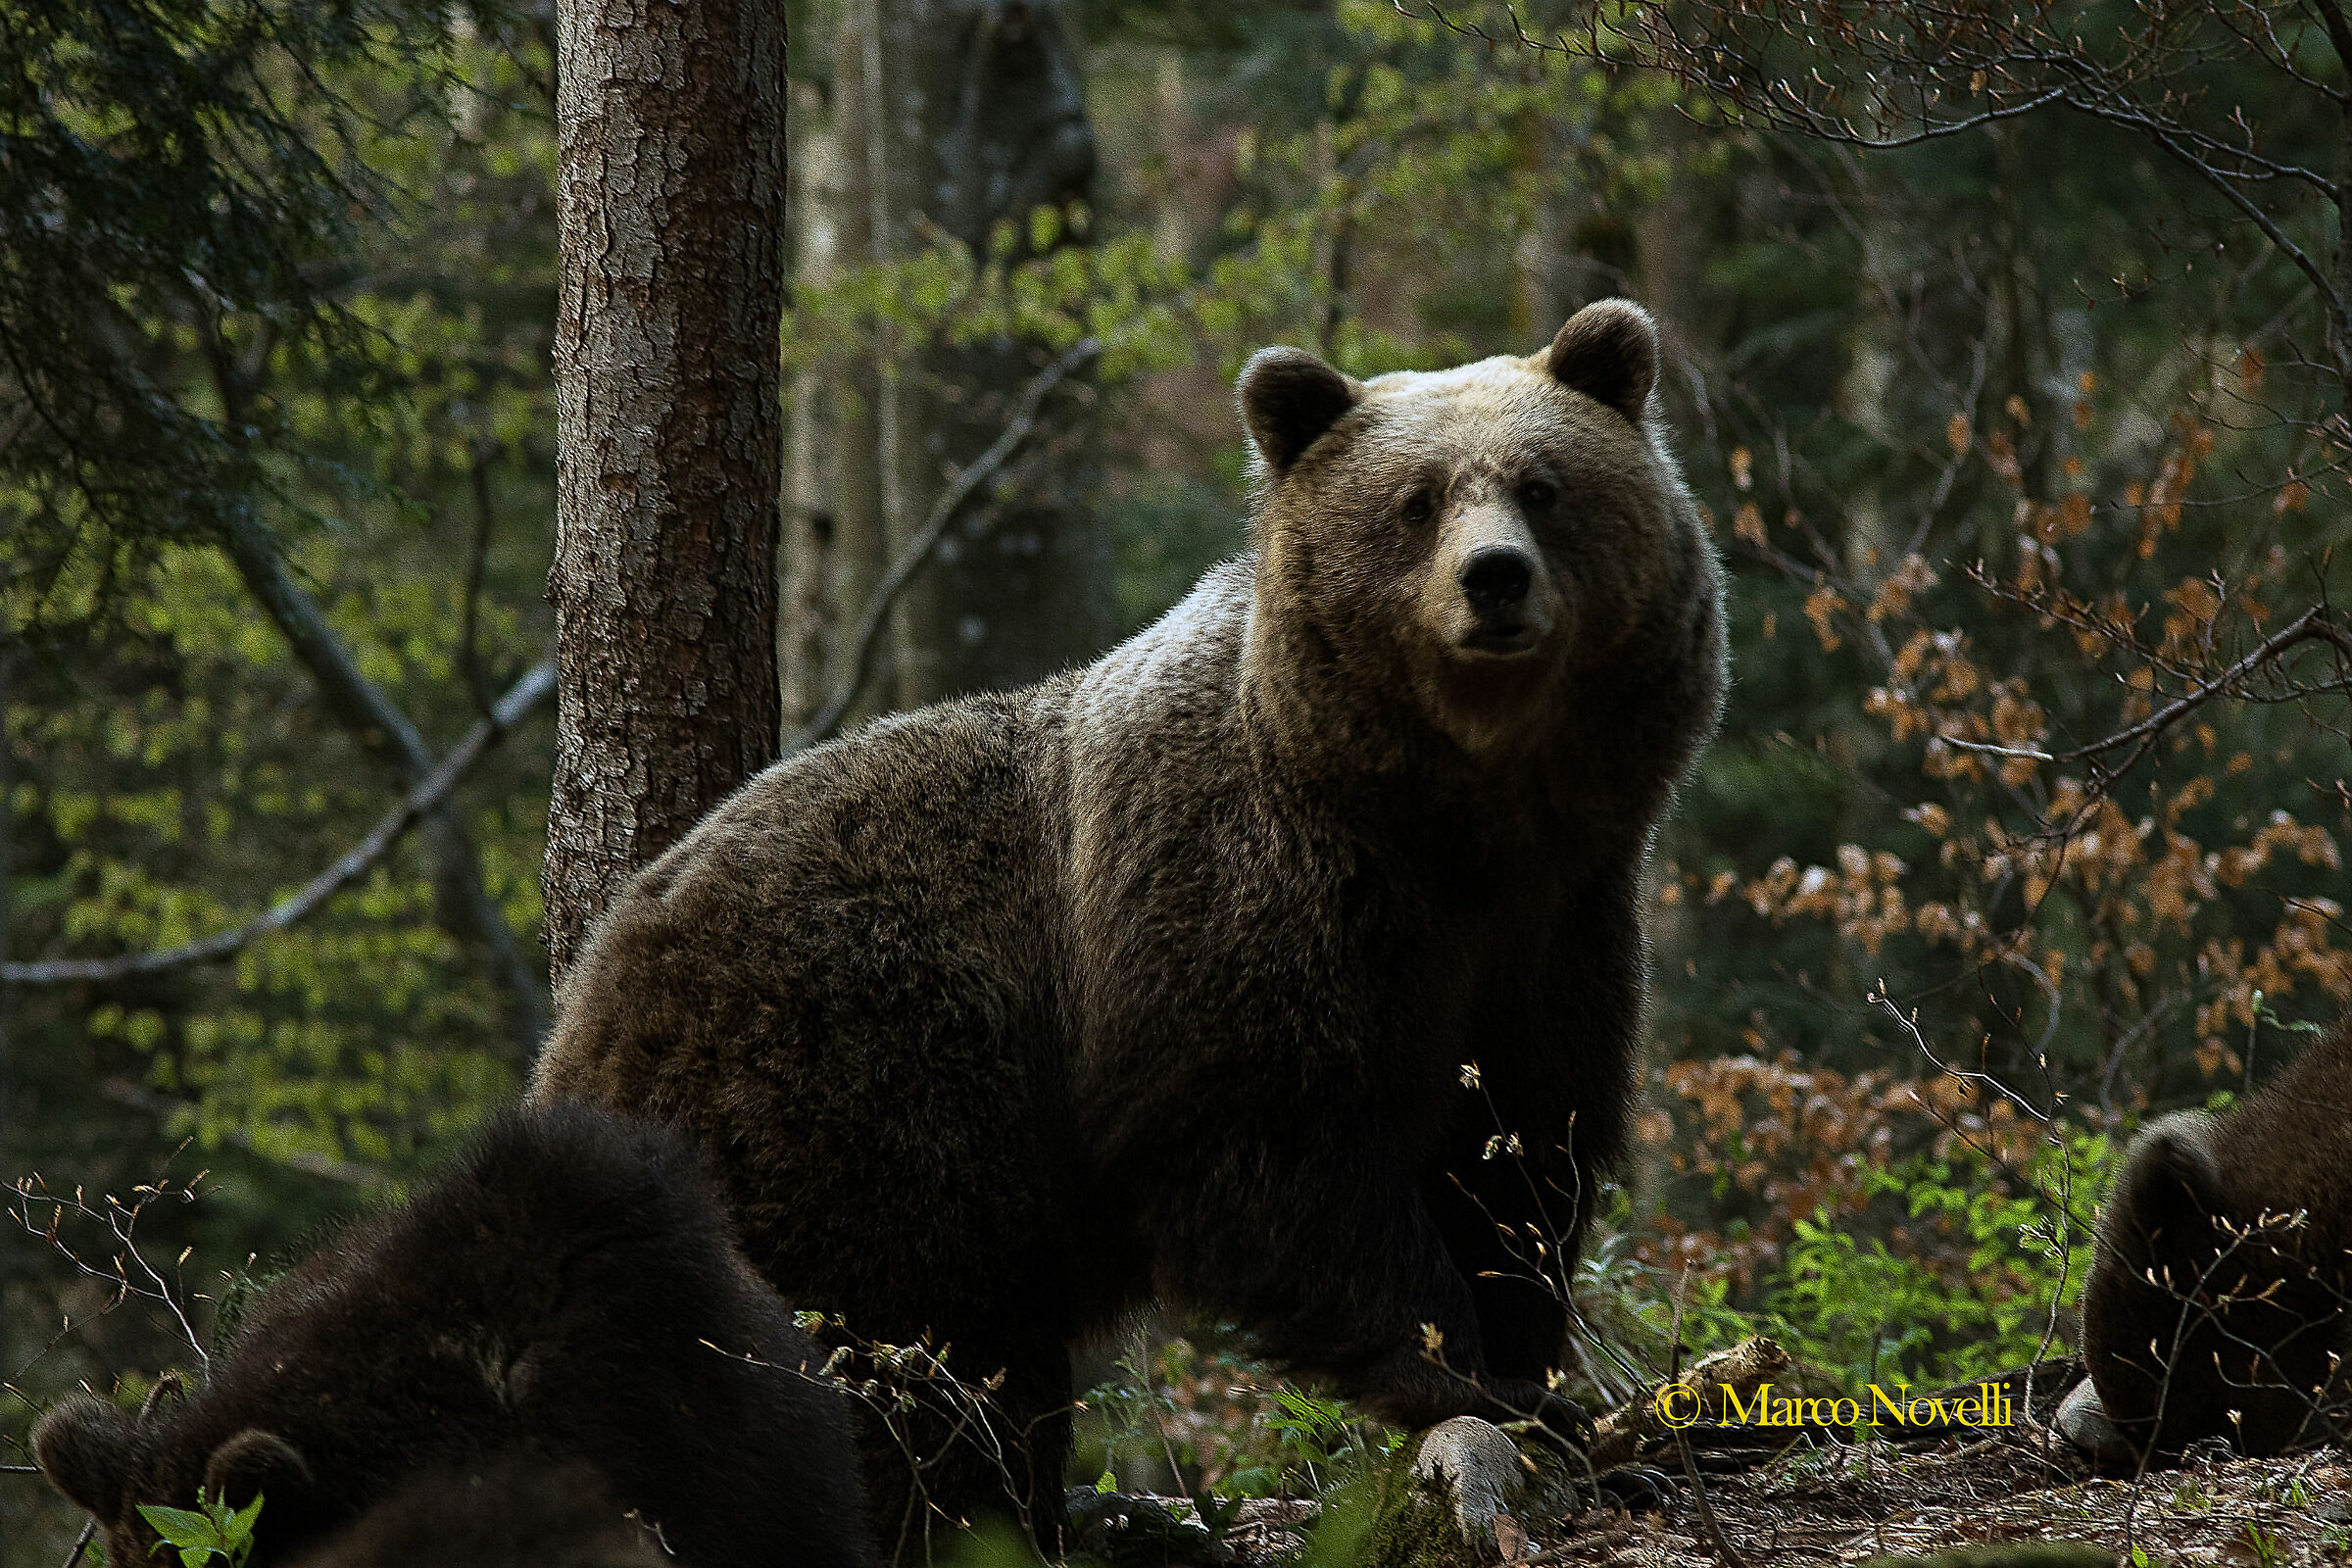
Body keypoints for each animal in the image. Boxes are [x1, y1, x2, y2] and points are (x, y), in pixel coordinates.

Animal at [532, 299, 1727, 1559]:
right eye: (1418, 500)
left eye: (1544, 485)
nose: (1494, 578)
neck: (1441, 824)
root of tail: (582, 1014)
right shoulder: (1232, 905)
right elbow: (1283, 1155)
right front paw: (1466, 1376)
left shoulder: (1556, 925)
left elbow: (1522, 1152)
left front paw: (1548, 1384)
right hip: (846, 1094)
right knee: (898, 1359)